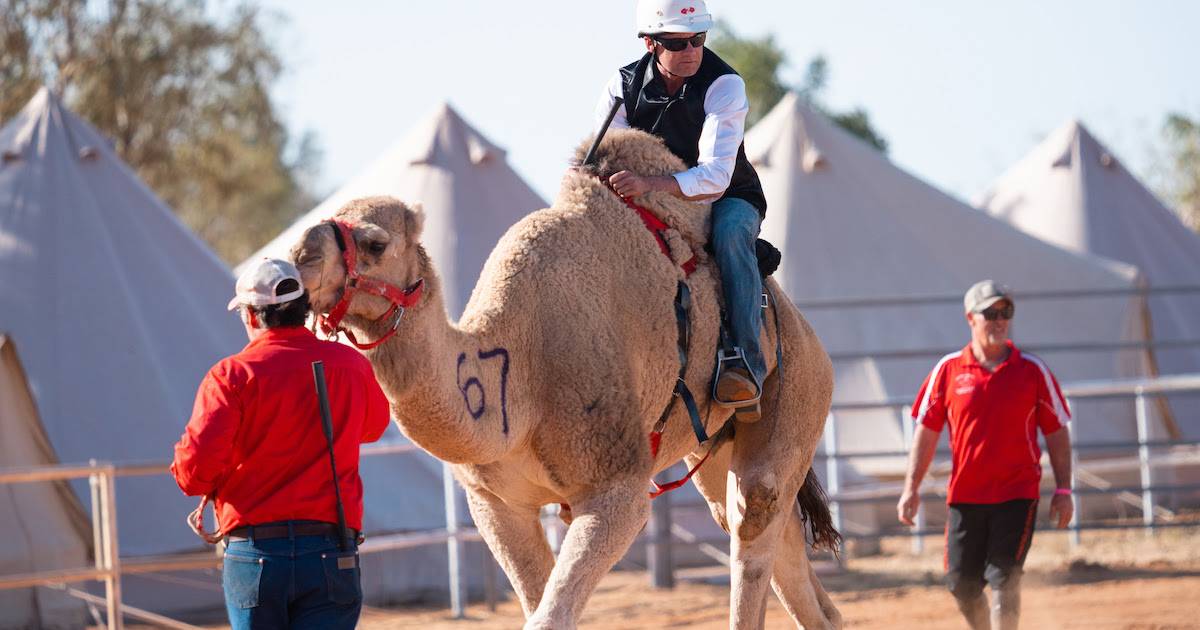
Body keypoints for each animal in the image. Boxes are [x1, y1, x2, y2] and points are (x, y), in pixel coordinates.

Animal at [288, 129, 844, 628]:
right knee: (765, 537)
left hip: (797, 384)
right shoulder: (497, 504)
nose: (297, 259)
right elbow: (538, 603)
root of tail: (807, 332)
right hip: (714, 445)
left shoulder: (615, 487)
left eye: (375, 242)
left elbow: (550, 616)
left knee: (756, 511)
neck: (516, 375)